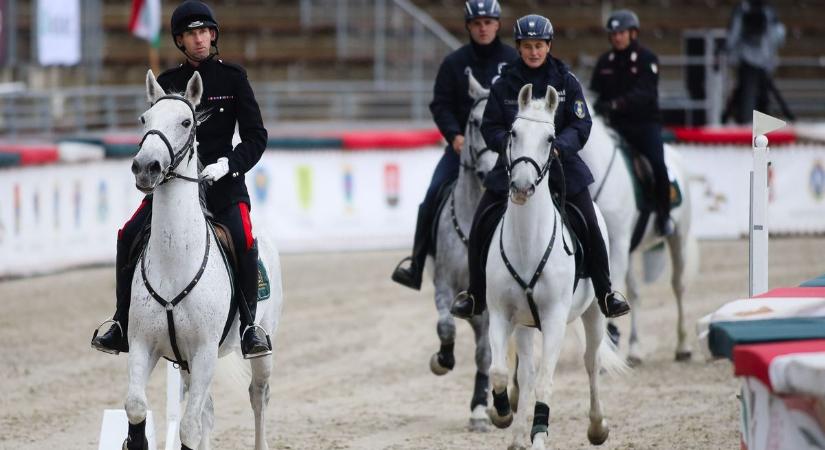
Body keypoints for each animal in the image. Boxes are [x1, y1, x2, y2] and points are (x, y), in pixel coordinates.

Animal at [482, 85, 624, 450]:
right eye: (513, 133)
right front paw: (501, 413)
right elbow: (500, 372)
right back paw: (517, 435)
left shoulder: (555, 318)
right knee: (526, 372)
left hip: (594, 313)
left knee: (591, 361)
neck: (527, 244)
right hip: (525, 324)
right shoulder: (502, 314)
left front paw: (539, 436)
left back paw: (597, 427)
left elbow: (547, 382)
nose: (520, 187)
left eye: (550, 138)